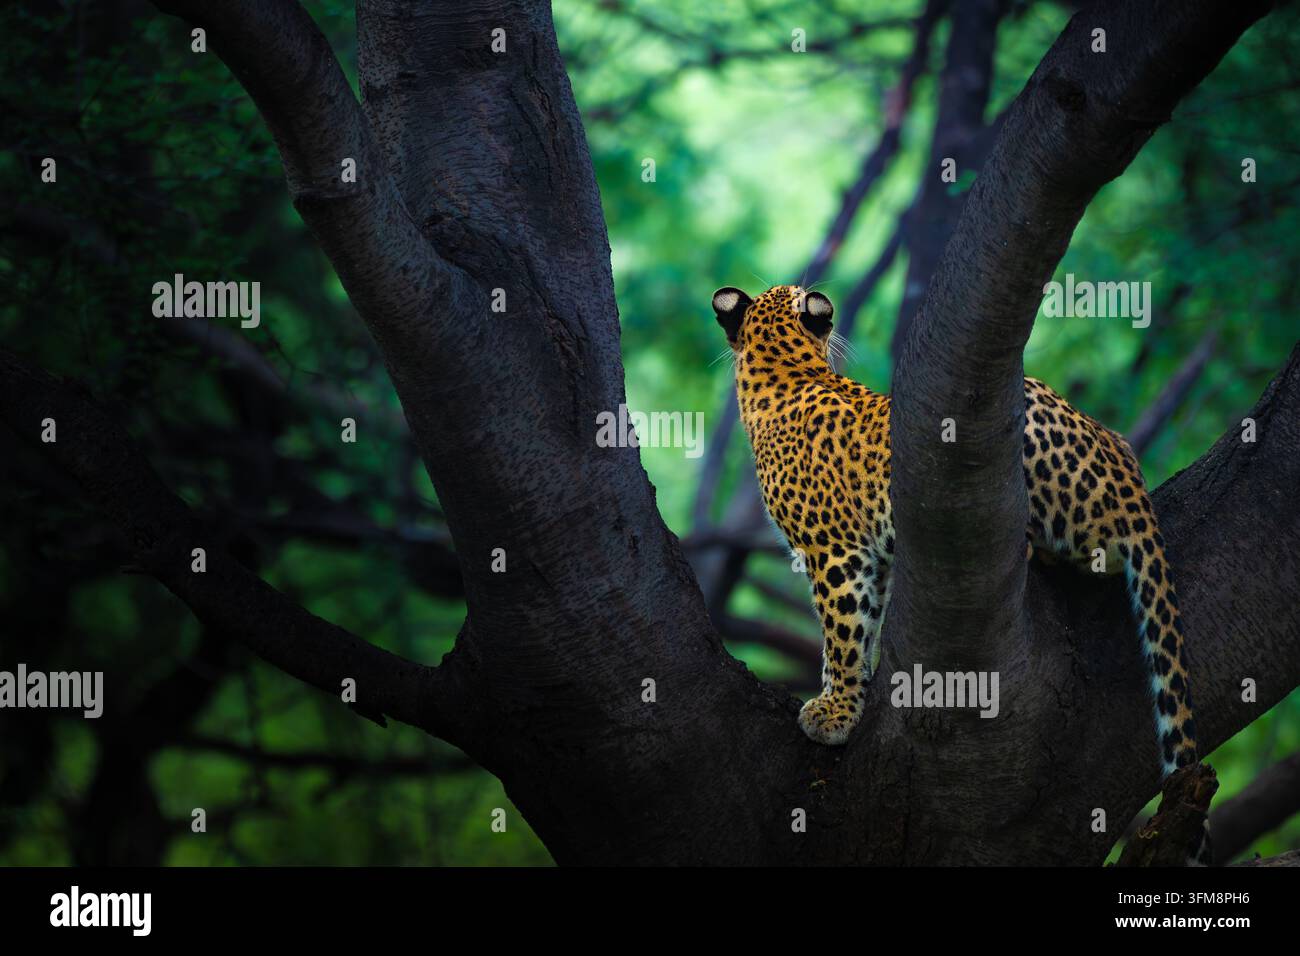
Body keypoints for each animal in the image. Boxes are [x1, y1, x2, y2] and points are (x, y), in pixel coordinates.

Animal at [712, 284, 1199, 784]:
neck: (787, 368)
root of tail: (1128, 476)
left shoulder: (834, 550)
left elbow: (842, 632)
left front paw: (835, 714)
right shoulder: (872, 559)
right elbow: (858, 630)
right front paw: (845, 698)